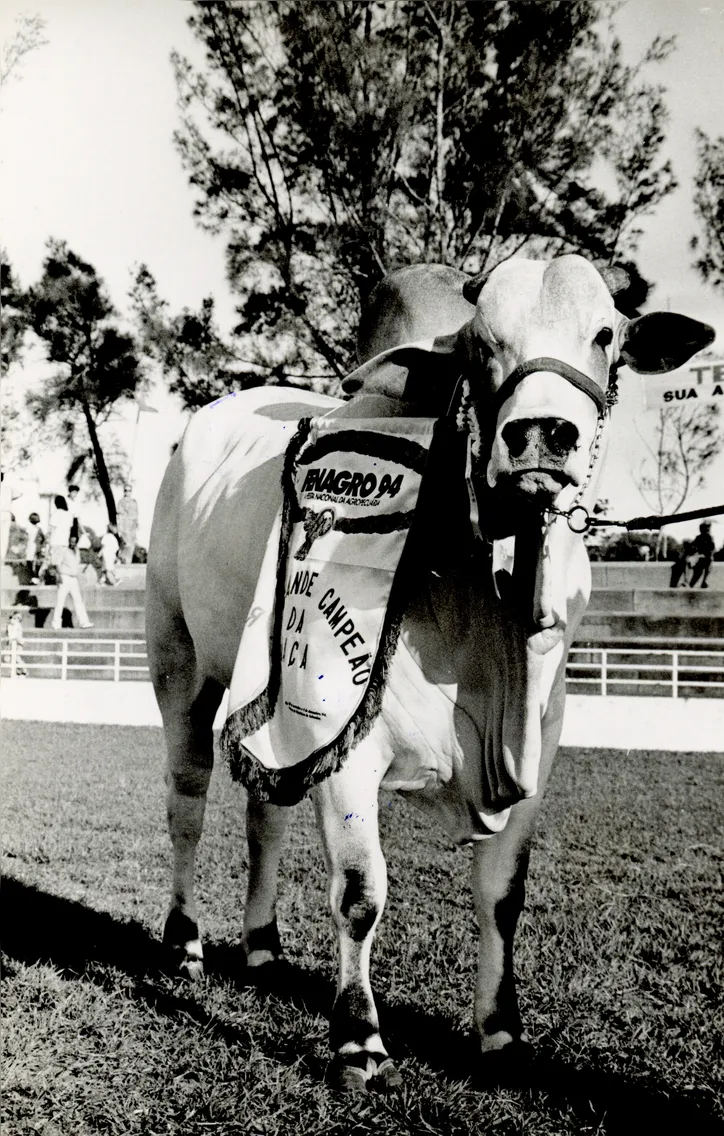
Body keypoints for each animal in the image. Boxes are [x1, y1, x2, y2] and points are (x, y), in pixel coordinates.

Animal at [146, 255, 713, 1090]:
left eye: (606, 335)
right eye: (480, 344)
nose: (542, 434)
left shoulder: (534, 755)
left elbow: (502, 896)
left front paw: (501, 1032)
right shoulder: (345, 735)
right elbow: (360, 893)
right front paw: (358, 1039)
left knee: (265, 813)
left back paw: (263, 946)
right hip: (179, 660)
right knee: (186, 800)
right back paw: (185, 940)